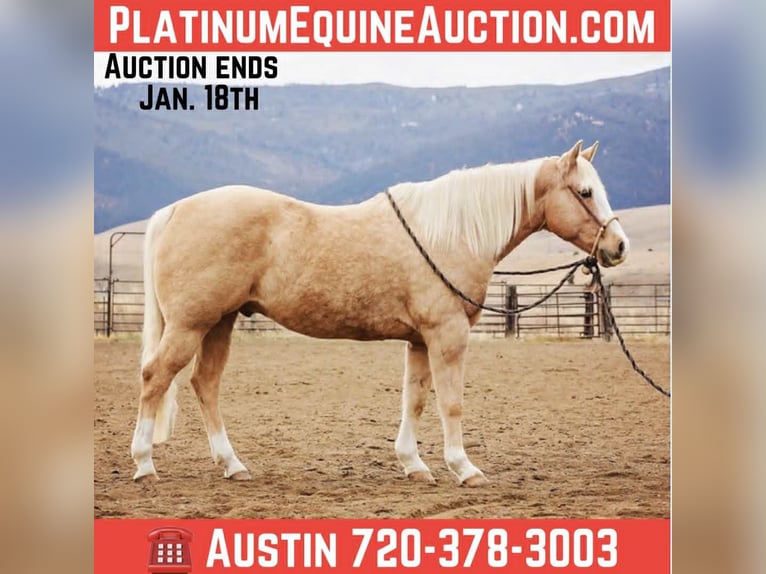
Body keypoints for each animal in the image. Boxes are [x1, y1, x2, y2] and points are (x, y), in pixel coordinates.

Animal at [130, 140, 629, 486]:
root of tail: (174, 210)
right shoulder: (446, 335)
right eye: (585, 191)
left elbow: (415, 399)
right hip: (190, 325)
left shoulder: (419, 340)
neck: (451, 233)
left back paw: (232, 464)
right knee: (155, 378)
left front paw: (414, 465)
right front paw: (464, 468)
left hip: (220, 322)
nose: (618, 246)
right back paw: (144, 465)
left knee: (205, 384)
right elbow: (451, 402)